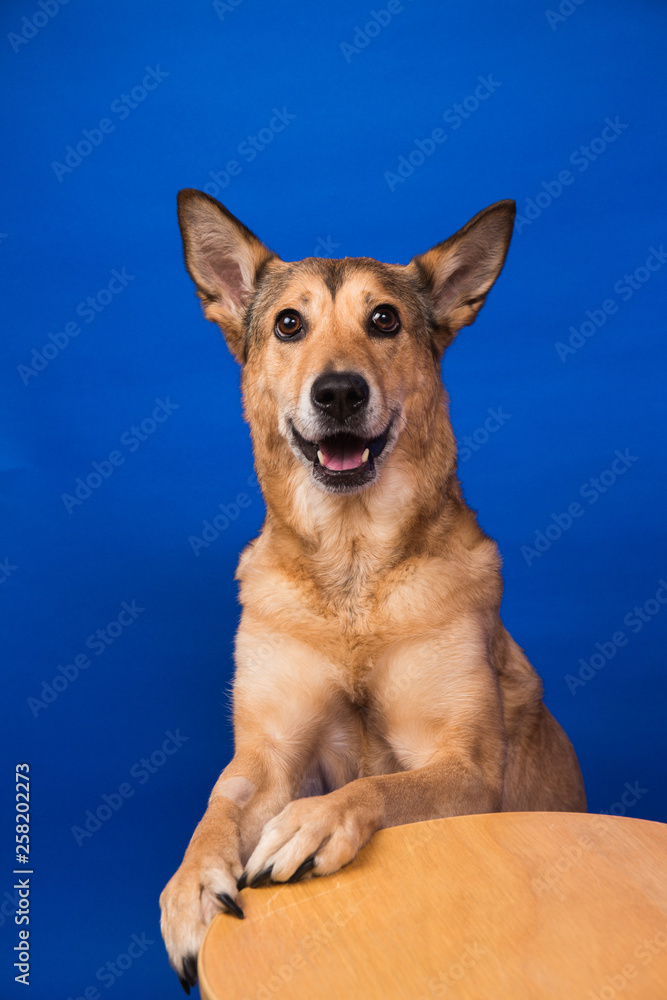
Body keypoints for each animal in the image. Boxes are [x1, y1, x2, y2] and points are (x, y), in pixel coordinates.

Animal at [160, 189, 584, 992]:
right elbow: (213, 811)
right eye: (287, 324)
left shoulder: (465, 768)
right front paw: (191, 888)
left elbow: (377, 788)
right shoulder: (266, 755)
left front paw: (313, 822)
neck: (352, 577)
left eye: (384, 319)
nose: (338, 392)